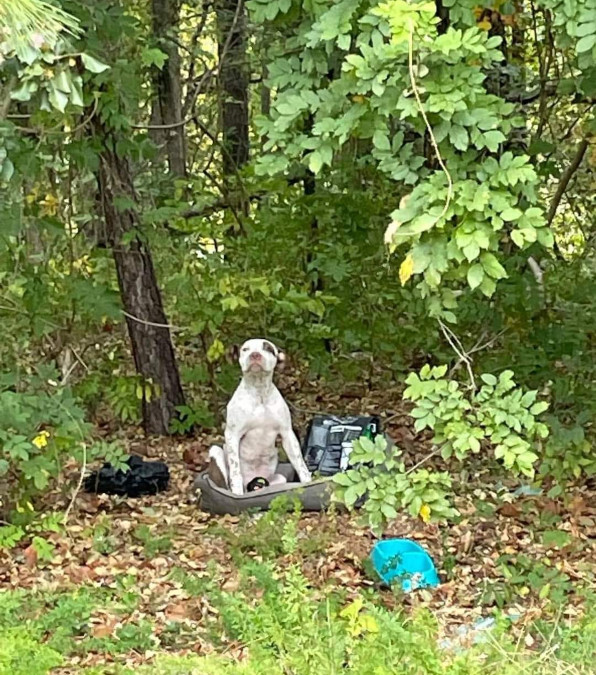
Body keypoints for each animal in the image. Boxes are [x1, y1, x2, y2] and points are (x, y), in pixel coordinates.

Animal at [207, 340, 312, 494]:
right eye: (245, 349)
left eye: (268, 348)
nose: (255, 354)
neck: (259, 391)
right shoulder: (232, 434)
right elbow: (235, 470)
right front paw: (237, 492)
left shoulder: (287, 434)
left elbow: (300, 464)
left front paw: (308, 482)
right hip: (216, 451)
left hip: (278, 479)